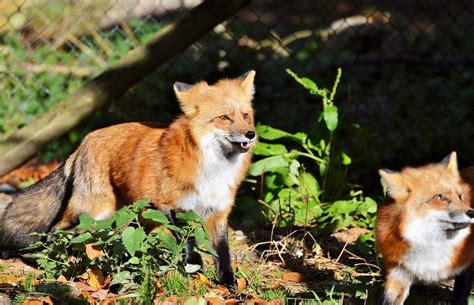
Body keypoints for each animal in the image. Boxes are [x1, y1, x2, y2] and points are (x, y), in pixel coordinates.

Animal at [0, 70, 258, 284]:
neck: (213, 169)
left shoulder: (218, 212)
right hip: (93, 211)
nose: (251, 134)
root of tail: (84, 140)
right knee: (56, 231)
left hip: (135, 216)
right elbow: (189, 243)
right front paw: (195, 270)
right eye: (224, 117)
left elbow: (223, 254)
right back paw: (60, 261)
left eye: (246, 115)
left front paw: (229, 285)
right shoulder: (168, 206)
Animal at [378, 152, 474, 304]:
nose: (472, 212)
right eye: (439, 197)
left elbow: (460, 297)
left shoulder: (467, 266)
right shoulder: (399, 271)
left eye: (460, 197)